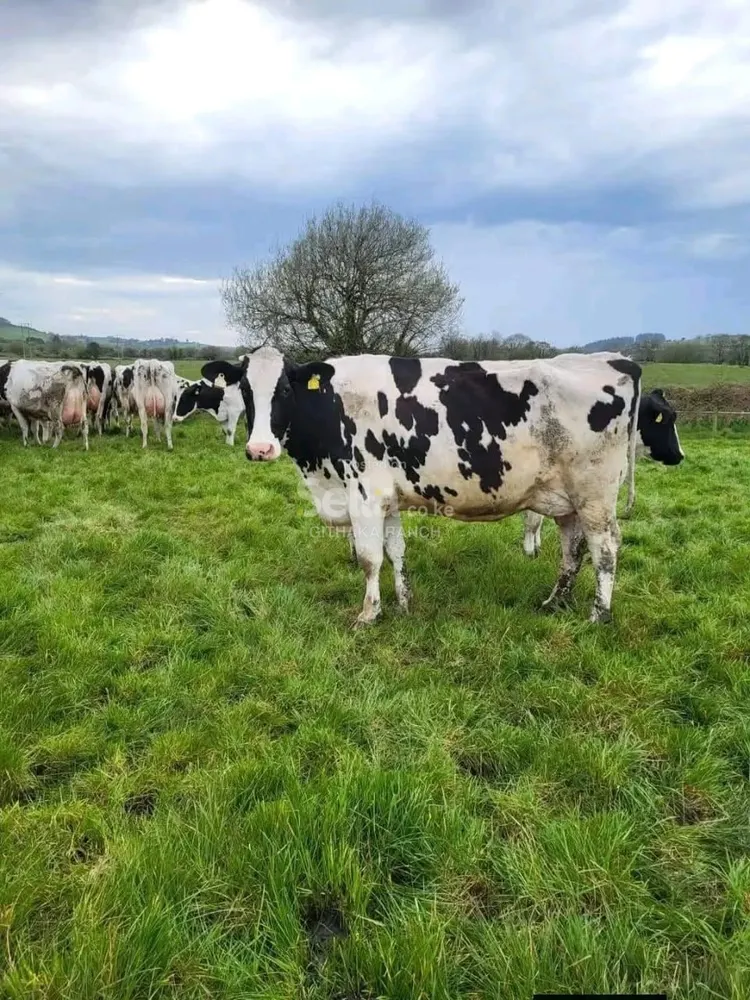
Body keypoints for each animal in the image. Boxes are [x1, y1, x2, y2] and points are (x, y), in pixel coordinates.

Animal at [204, 347, 648, 625]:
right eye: (245, 390)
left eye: (284, 389)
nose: (259, 449)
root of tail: (618, 362)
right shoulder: (388, 498)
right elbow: (396, 552)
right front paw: (403, 603)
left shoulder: (364, 495)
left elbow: (369, 558)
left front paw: (369, 614)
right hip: (566, 498)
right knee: (573, 549)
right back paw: (556, 603)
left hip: (594, 495)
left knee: (606, 549)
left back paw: (598, 615)